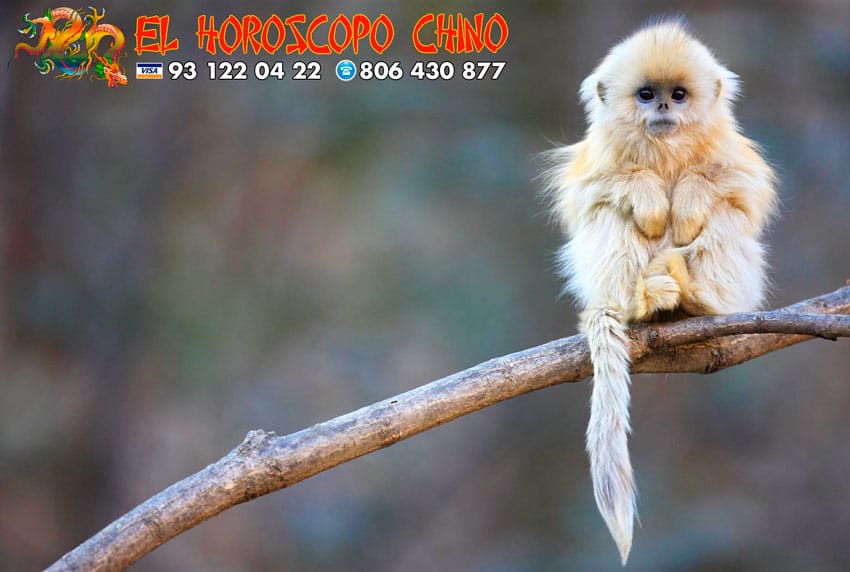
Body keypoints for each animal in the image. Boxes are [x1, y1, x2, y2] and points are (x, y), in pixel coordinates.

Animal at [542, 19, 777, 564]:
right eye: (646, 95)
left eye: (679, 94)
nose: (664, 108)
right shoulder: (597, 159)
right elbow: (591, 194)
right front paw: (649, 197)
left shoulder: (731, 153)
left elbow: (744, 191)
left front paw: (687, 200)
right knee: (609, 213)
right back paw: (643, 302)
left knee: (726, 215)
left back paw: (695, 298)